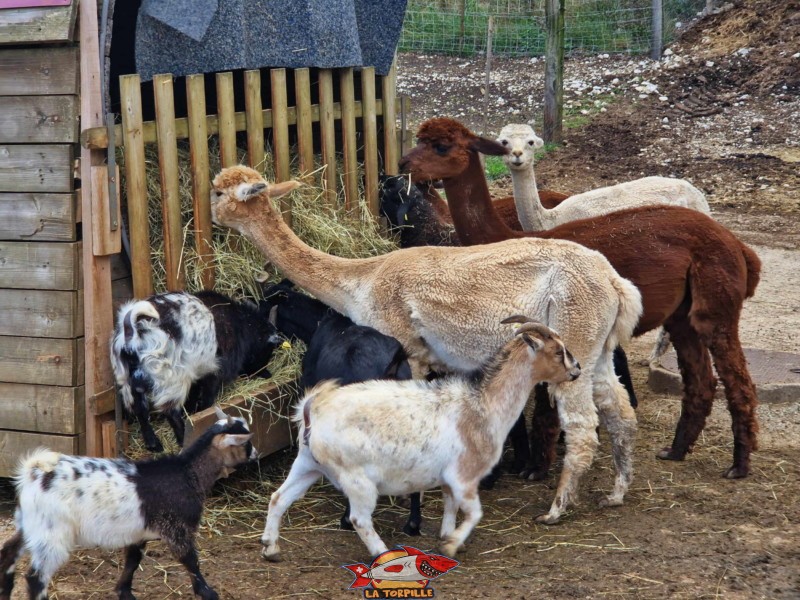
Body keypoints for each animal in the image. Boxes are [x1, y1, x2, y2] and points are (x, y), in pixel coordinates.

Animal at [0, 408, 255, 600]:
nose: (255, 454)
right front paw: (207, 592)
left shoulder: (138, 532)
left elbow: (132, 561)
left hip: (31, 523)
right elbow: (190, 560)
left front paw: (124, 592)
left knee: (8, 552)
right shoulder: (176, 527)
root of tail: (34, 474)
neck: (186, 472)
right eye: (246, 443)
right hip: (52, 532)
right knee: (36, 577)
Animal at [112, 290, 282, 450]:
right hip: (172, 380)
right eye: (268, 349)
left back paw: (154, 444)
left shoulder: (196, 374)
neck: (241, 325)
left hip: (126, 380)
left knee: (139, 408)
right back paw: (182, 440)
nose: (266, 374)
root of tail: (132, 333)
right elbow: (207, 400)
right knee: (170, 411)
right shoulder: (214, 371)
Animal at [209, 166, 640, 524]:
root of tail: (615, 283)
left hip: (573, 336)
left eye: (217, 191)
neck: (360, 281)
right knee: (620, 411)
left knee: (583, 426)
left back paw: (555, 510)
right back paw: (617, 493)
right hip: (596, 349)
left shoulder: (406, 349)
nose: (212, 218)